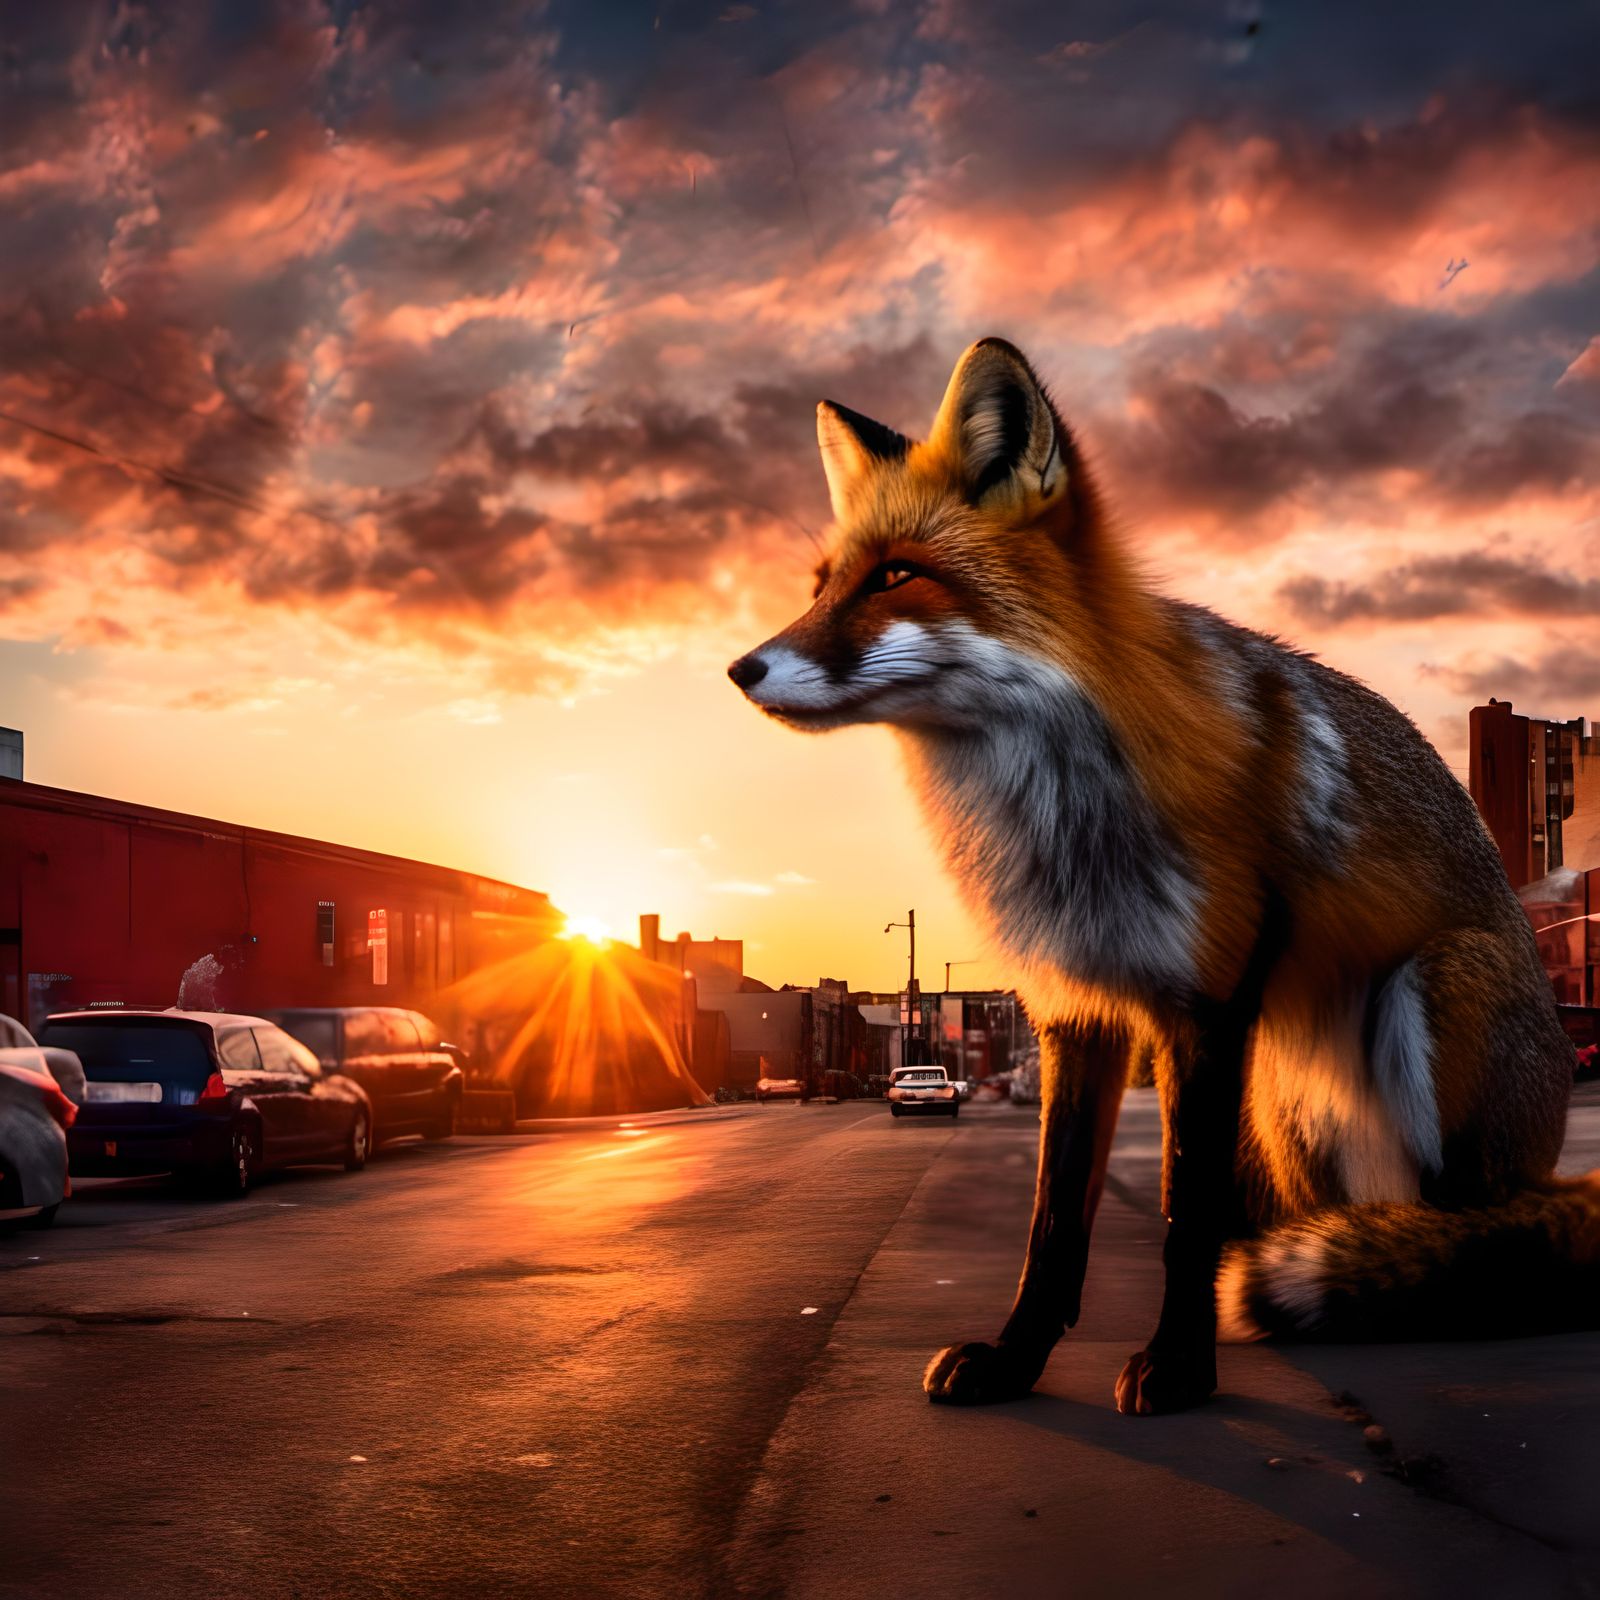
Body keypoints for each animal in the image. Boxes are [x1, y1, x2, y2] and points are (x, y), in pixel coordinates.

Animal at [728, 336, 1597, 1415]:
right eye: (820, 584)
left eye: (896, 576)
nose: (741, 669)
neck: (1057, 808)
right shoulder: (1073, 1009)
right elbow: (1053, 1225)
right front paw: (1015, 1360)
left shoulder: (1207, 1005)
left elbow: (1185, 1214)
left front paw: (1179, 1367)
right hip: (1288, 1095)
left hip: (1428, 997)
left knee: (1476, 1237)